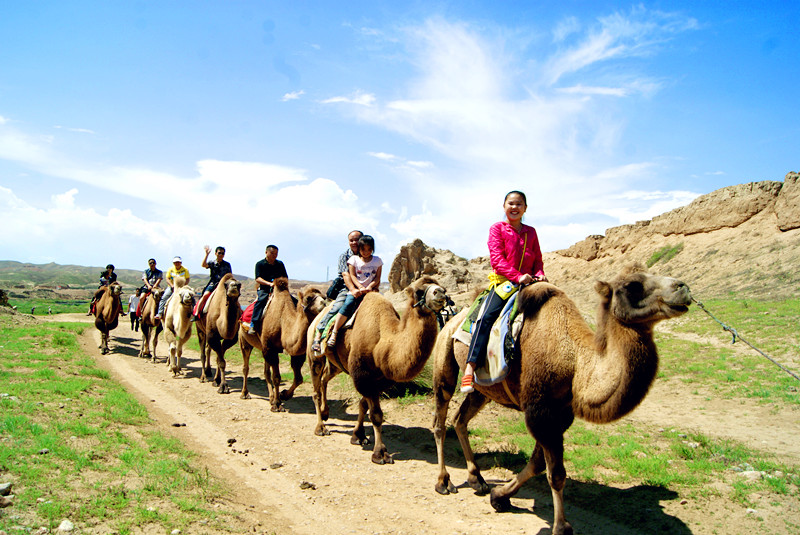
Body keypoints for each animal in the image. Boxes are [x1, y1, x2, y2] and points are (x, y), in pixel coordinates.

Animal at [238, 278, 324, 408]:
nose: (324, 304)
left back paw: (270, 397)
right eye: (309, 298)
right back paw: (245, 393)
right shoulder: (270, 348)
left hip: (263, 347)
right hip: (244, 340)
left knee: (266, 371)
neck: (283, 322)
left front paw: (284, 395)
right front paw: (277, 404)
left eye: (324, 296)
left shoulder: (288, 351)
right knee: (246, 366)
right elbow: (277, 377)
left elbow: (298, 378)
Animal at [306, 276, 446, 464]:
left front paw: (358, 436)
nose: (440, 292)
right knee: (315, 387)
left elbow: (363, 405)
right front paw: (380, 453)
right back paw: (320, 427)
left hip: (337, 364)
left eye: (442, 286)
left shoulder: (381, 379)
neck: (384, 341)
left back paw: (325, 412)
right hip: (315, 355)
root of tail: (316, 319)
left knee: (324, 379)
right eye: (419, 291)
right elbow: (376, 415)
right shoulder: (362, 375)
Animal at [434, 264, 692, 535]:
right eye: (632, 285)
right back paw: (443, 481)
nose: (683, 287)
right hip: (445, 357)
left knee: (460, 419)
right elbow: (556, 473)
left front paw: (500, 496)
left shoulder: (561, 413)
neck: (575, 359)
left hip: (483, 389)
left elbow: (537, 464)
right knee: (440, 419)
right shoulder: (539, 410)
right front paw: (561, 526)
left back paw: (477, 479)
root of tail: (454, 318)